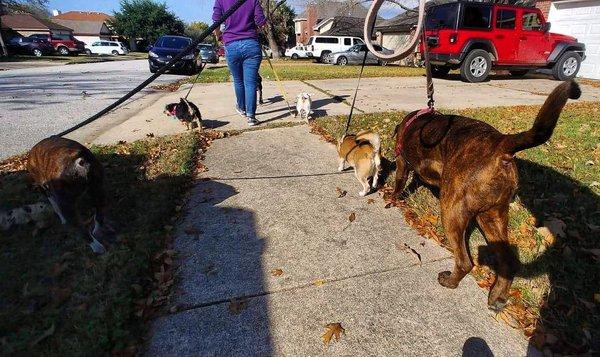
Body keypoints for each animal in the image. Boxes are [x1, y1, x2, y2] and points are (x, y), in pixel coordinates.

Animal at [394, 80, 580, 308]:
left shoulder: (402, 164)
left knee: (465, 262)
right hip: (493, 215)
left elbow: (399, 182)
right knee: (507, 263)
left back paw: (450, 281)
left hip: (452, 211)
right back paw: (497, 297)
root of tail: (501, 144)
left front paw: (391, 199)